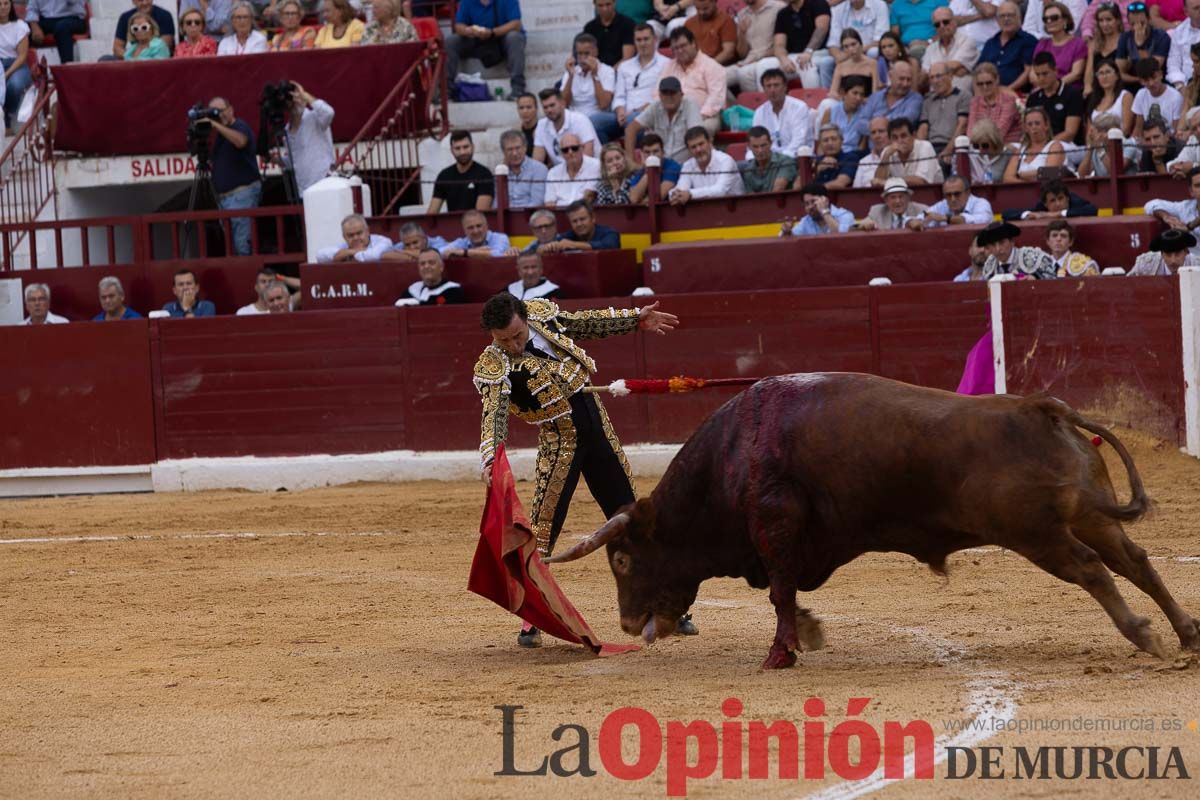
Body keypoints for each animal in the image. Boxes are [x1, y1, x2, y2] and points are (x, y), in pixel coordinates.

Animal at [549, 374, 1200, 671]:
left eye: (623, 559)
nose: (626, 624)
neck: (734, 457)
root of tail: (1043, 407)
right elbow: (787, 595)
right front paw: (808, 633)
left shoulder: (775, 530)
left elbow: (779, 594)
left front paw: (781, 654)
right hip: (1089, 516)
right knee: (1135, 561)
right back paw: (1186, 632)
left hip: (1037, 534)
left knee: (1093, 570)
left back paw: (1143, 635)